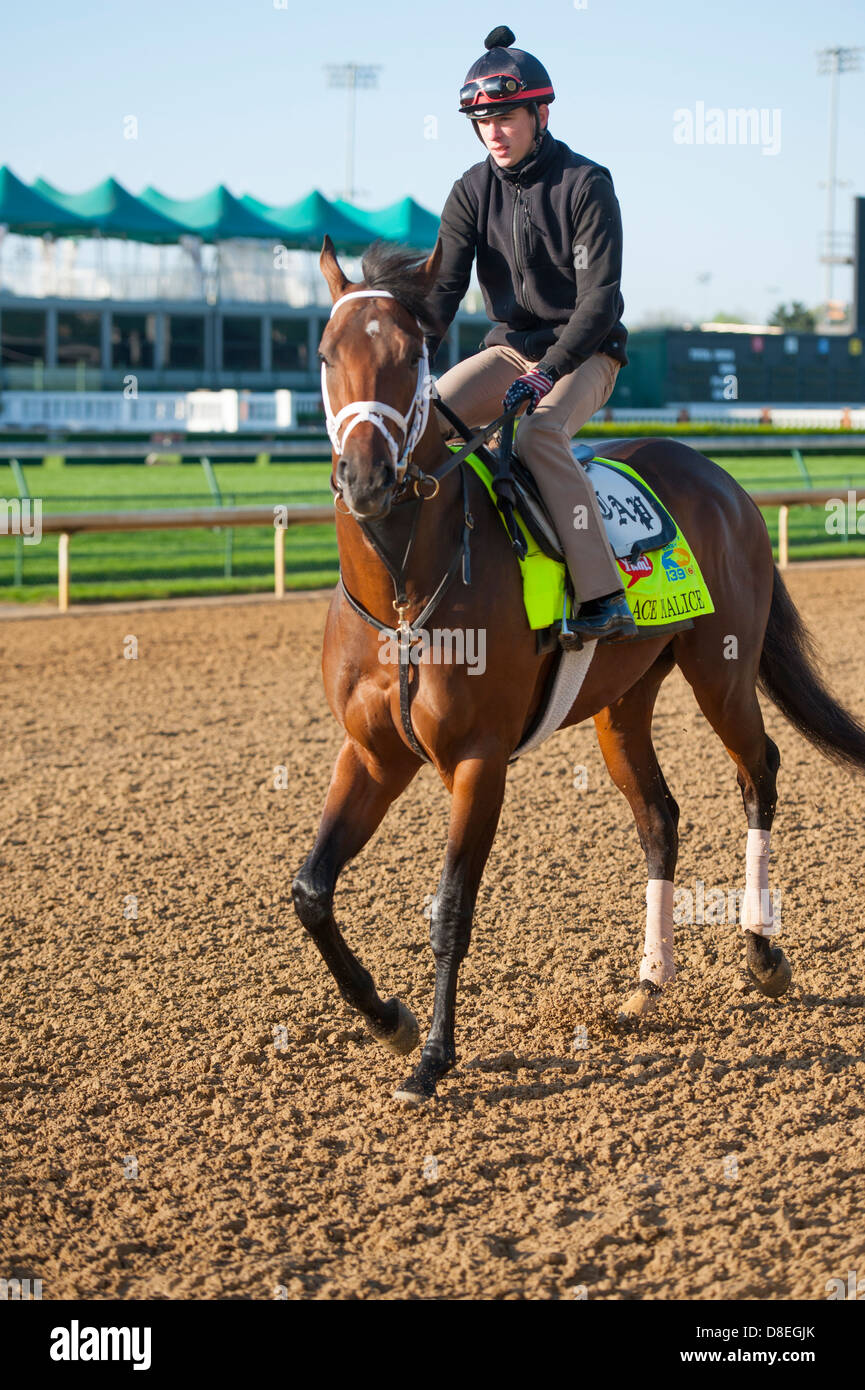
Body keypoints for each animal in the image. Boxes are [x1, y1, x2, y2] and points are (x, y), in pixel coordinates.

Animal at [293, 239, 865, 1106]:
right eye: (326, 354)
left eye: (413, 356)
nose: (365, 478)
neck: (401, 585)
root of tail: (722, 480)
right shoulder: (372, 754)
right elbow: (312, 891)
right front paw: (387, 1019)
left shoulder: (477, 760)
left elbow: (451, 908)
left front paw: (433, 1057)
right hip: (620, 703)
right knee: (658, 818)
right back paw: (647, 984)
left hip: (720, 672)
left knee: (758, 774)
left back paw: (761, 954)